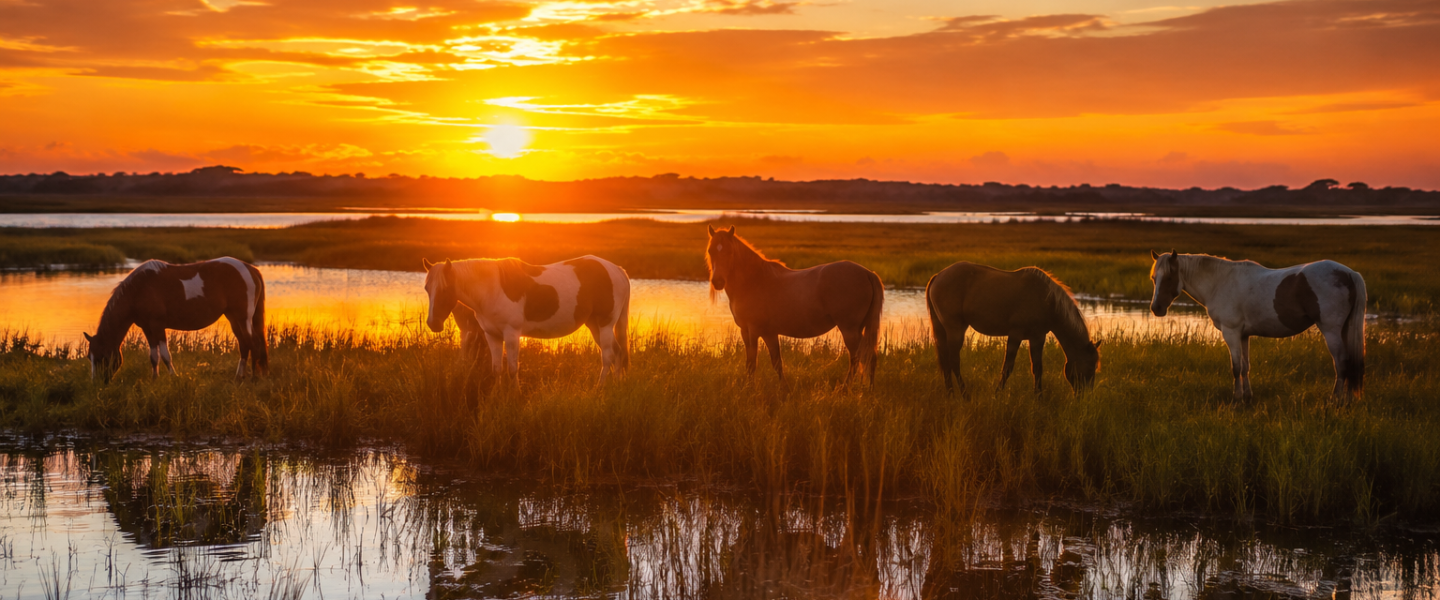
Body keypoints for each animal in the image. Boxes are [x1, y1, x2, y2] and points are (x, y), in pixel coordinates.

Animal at [83, 257, 267, 382]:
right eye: (89, 358)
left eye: (101, 357)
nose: (97, 383)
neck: (138, 289)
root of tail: (250, 269)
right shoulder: (147, 328)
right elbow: (153, 356)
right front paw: (154, 380)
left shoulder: (157, 325)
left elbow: (165, 355)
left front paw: (173, 377)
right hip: (233, 318)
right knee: (244, 344)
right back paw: (239, 377)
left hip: (243, 318)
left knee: (253, 343)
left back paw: (254, 378)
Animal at [422, 255, 631, 383]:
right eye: (426, 288)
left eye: (445, 289)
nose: (433, 323)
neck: (492, 288)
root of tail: (617, 270)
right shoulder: (492, 335)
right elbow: (497, 369)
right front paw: (497, 398)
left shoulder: (511, 334)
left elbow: (513, 368)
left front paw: (514, 398)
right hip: (594, 325)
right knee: (618, 352)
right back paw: (615, 385)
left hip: (605, 324)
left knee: (608, 356)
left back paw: (599, 389)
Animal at [704, 225, 884, 385]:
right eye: (711, 251)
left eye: (730, 252)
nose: (718, 282)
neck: (754, 280)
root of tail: (868, 273)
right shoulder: (755, 332)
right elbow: (770, 363)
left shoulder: (756, 331)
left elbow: (757, 363)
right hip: (859, 329)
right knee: (870, 356)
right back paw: (869, 389)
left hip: (849, 330)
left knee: (857, 357)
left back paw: (845, 389)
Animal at [925, 262, 1101, 397]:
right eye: (1091, 367)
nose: (1084, 397)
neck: (1047, 300)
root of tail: (937, 276)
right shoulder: (1016, 335)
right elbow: (1007, 368)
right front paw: (996, 395)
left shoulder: (1037, 337)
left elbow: (1038, 368)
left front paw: (1039, 398)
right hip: (955, 328)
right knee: (954, 361)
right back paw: (964, 395)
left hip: (942, 329)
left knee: (946, 361)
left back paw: (950, 394)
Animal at [1148, 251, 1366, 400]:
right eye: (1153, 278)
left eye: (1169, 277)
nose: (1156, 308)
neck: (1219, 282)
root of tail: (1349, 273)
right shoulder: (1244, 335)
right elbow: (1245, 367)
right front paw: (1247, 397)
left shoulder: (1231, 333)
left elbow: (1236, 367)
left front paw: (1236, 399)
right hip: (1344, 329)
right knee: (1348, 363)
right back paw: (1346, 399)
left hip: (1331, 331)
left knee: (1341, 363)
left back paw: (1335, 400)